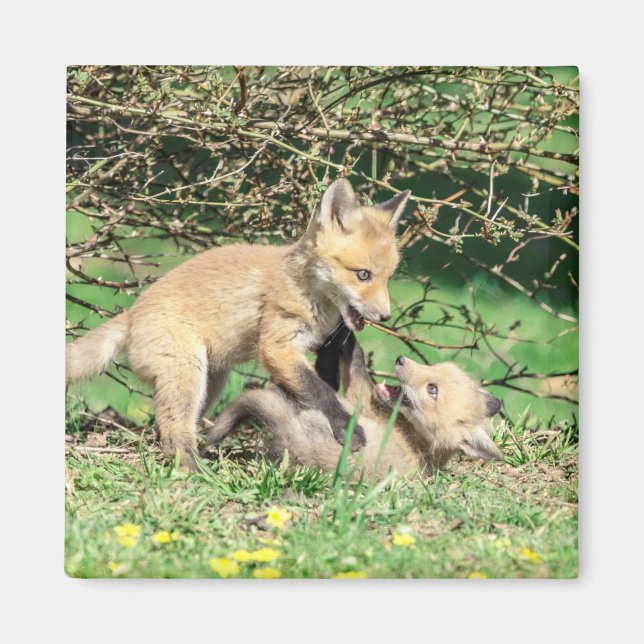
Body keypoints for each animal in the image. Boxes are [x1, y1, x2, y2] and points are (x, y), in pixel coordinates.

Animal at [66, 179, 410, 469]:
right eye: (363, 274)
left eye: (388, 277)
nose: (385, 317)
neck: (307, 291)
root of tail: (131, 313)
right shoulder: (276, 346)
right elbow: (320, 391)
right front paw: (347, 427)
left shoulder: (317, 342)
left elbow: (320, 380)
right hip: (187, 374)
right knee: (172, 430)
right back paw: (193, 469)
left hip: (211, 381)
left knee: (168, 428)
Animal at [205, 329, 504, 478]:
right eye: (435, 368)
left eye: (433, 390)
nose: (400, 360)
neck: (421, 443)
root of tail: (291, 436)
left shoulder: (361, 399)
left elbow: (356, 360)